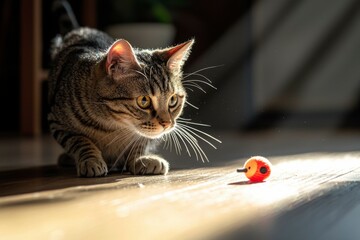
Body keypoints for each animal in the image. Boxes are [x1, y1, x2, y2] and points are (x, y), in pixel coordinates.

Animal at [46, 0, 218, 176]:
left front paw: (139, 159)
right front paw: (91, 160)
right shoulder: (58, 122)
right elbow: (80, 141)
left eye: (173, 100)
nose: (167, 123)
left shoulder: (143, 137)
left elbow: (140, 143)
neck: (113, 127)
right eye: (144, 101)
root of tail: (80, 30)